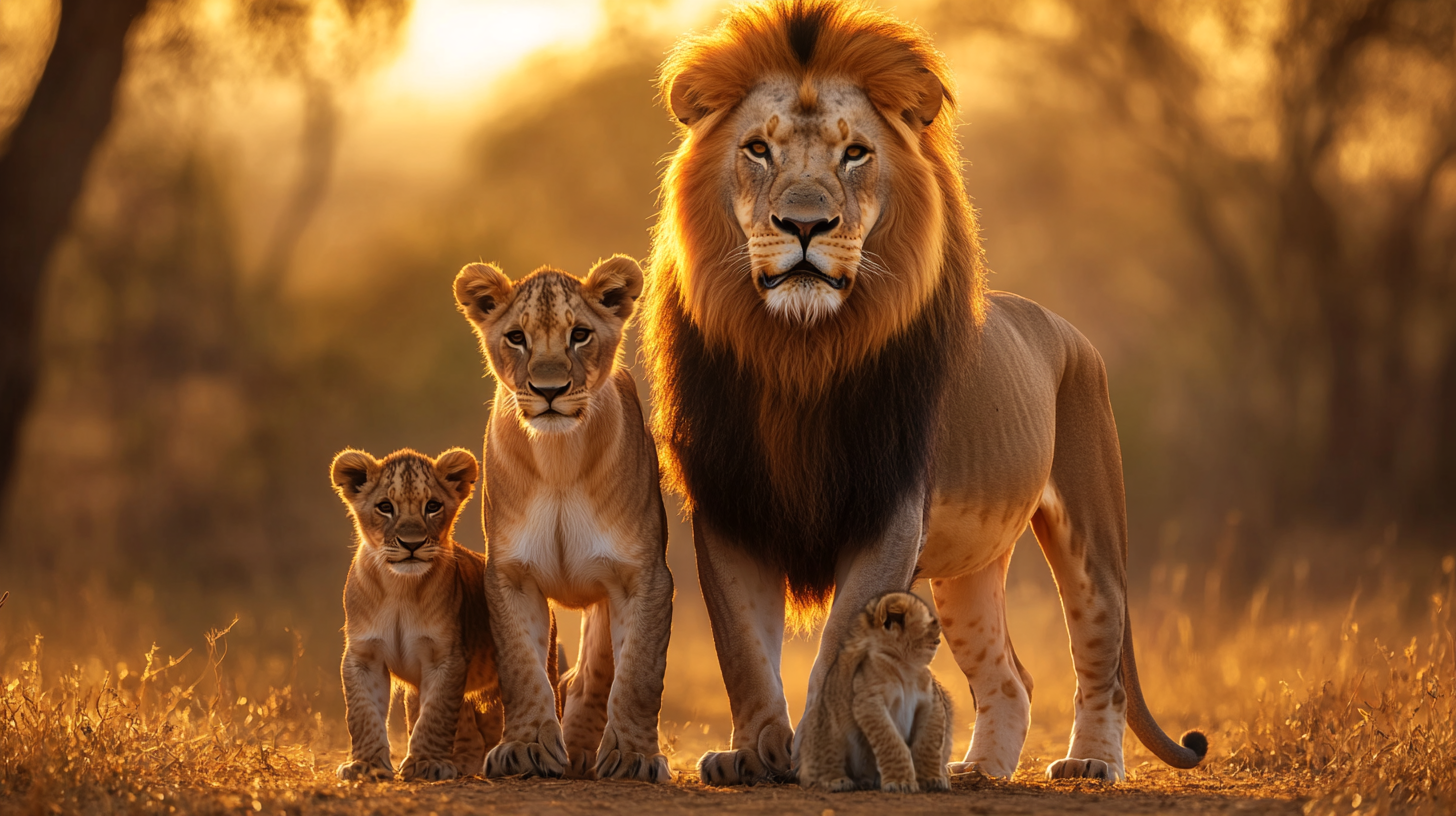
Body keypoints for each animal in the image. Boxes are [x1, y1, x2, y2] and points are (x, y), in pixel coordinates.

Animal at [331, 448, 556, 781]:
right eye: (385, 507)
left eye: (432, 506)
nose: (411, 544)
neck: (399, 589)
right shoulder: (363, 655)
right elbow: (363, 712)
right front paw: (366, 766)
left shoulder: (447, 656)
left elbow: (436, 714)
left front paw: (426, 763)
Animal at [454, 255, 675, 786]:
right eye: (516, 337)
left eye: (580, 334)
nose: (549, 390)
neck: (558, 460)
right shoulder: (511, 576)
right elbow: (523, 668)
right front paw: (527, 748)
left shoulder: (643, 576)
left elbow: (637, 672)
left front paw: (634, 757)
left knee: (595, 671)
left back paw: (581, 746)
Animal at [797, 588, 955, 792]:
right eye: (930, 620)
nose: (941, 628)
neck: (905, 667)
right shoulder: (869, 702)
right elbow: (891, 740)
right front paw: (901, 782)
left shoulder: (931, 701)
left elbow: (929, 743)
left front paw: (933, 779)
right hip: (827, 725)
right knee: (819, 764)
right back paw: (836, 780)